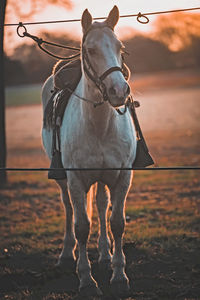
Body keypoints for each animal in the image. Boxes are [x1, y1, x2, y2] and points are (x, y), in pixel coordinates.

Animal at [41, 5, 137, 296]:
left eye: (120, 47)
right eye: (91, 49)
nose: (119, 90)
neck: (99, 127)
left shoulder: (122, 177)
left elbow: (116, 222)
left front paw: (119, 275)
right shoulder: (75, 179)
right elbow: (82, 225)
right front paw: (86, 280)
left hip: (103, 179)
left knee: (102, 204)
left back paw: (105, 255)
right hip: (64, 180)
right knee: (69, 209)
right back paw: (66, 256)